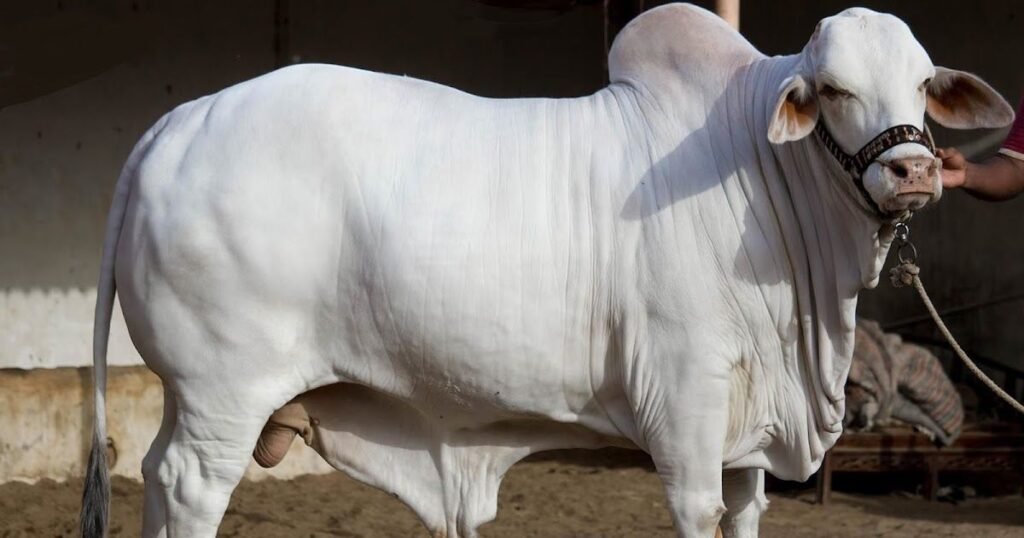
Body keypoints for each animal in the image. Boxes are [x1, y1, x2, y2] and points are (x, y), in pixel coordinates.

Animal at [80, 4, 1013, 537]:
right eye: (834, 88)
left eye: (922, 83)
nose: (915, 171)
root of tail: (178, 122)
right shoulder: (687, 398)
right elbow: (698, 511)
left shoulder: (750, 424)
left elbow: (746, 513)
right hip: (224, 391)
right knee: (189, 486)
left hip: (191, 395)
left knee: (154, 476)